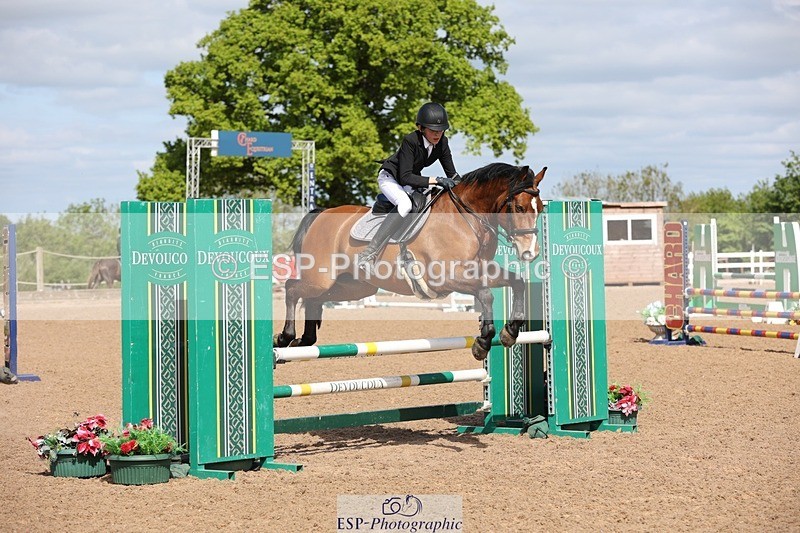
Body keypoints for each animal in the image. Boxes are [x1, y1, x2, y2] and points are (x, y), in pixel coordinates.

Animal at [274, 162, 546, 360]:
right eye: (519, 208)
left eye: (541, 208)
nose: (530, 252)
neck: (467, 217)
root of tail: (322, 213)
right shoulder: (445, 277)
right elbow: (486, 294)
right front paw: (483, 341)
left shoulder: (482, 269)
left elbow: (517, 282)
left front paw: (510, 332)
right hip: (321, 278)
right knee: (291, 288)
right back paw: (285, 337)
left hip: (352, 287)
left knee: (313, 299)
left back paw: (304, 341)